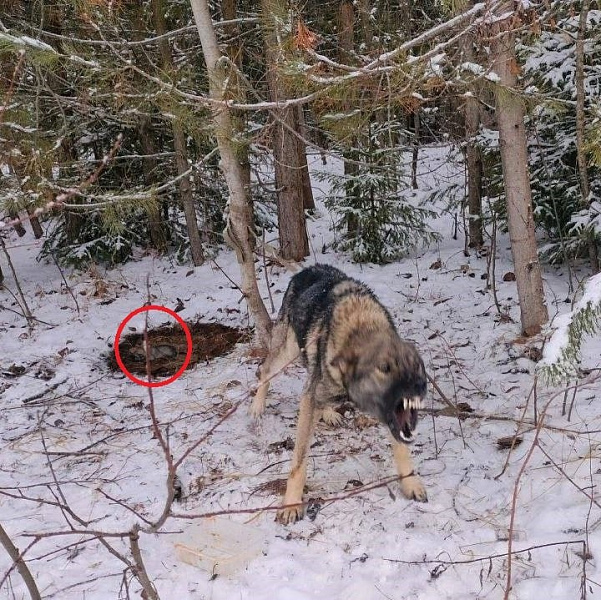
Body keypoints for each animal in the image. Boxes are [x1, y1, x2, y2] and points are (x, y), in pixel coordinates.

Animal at [250, 264, 426, 524]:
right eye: (384, 369)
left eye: (416, 366)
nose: (421, 387)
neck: (361, 324)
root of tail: (307, 268)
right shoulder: (312, 397)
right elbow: (299, 463)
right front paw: (291, 503)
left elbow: (402, 449)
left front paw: (411, 484)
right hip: (288, 353)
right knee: (265, 370)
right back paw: (257, 407)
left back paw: (329, 413)